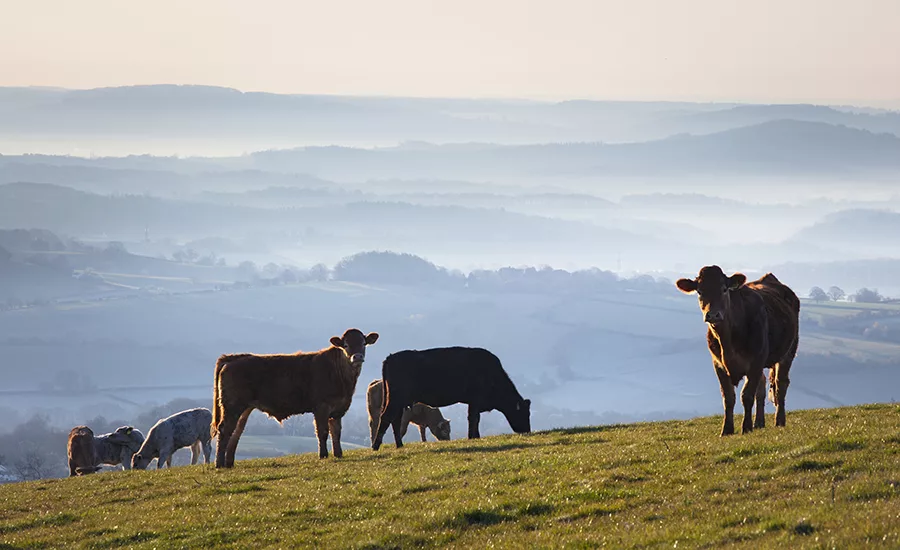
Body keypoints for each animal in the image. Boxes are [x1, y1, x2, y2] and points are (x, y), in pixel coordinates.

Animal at [211, 328, 379, 467]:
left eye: (363, 343)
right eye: (345, 344)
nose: (357, 357)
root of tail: (234, 357)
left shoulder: (338, 408)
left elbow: (336, 432)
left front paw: (338, 454)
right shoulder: (321, 407)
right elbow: (323, 431)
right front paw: (323, 455)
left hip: (244, 408)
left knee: (236, 432)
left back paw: (229, 463)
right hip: (232, 405)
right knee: (225, 430)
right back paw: (219, 464)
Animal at [372, 347, 530, 451]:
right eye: (524, 413)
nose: (527, 431)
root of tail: (390, 358)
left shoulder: (473, 402)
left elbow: (474, 419)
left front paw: (475, 437)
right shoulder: (475, 401)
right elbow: (474, 419)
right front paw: (473, 437)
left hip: (398, 401)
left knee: (395, 420)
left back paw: (399, 445)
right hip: (396, 399)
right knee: (386, 417)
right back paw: (376, 446)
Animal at [676, 266, 800, 436]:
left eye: (724, 289)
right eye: (700, 291)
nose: (712, 315)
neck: (728, 342)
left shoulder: (755, 362)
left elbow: (746, 396)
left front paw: (746, 427)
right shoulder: (718, 364)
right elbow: (728, 397)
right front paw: (727, 429)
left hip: (789, 350)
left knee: (780, 384)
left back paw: (779, 421)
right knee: (762, 385)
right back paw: (759, 422)